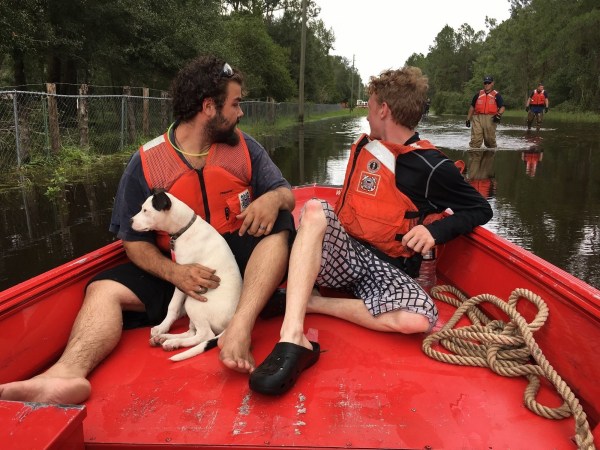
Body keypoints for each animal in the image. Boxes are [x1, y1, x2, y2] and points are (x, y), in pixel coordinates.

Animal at [131, 191, 241, 362]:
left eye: (146, 210)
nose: (131, 221)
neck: (185, 228)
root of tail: (231, 321)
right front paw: (162, 332)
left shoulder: (183, 280)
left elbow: (173, 306)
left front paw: (162, 327)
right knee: (193, 332)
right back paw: (166, 339)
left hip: (193, 303)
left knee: (205, 335)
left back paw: (171, 341)